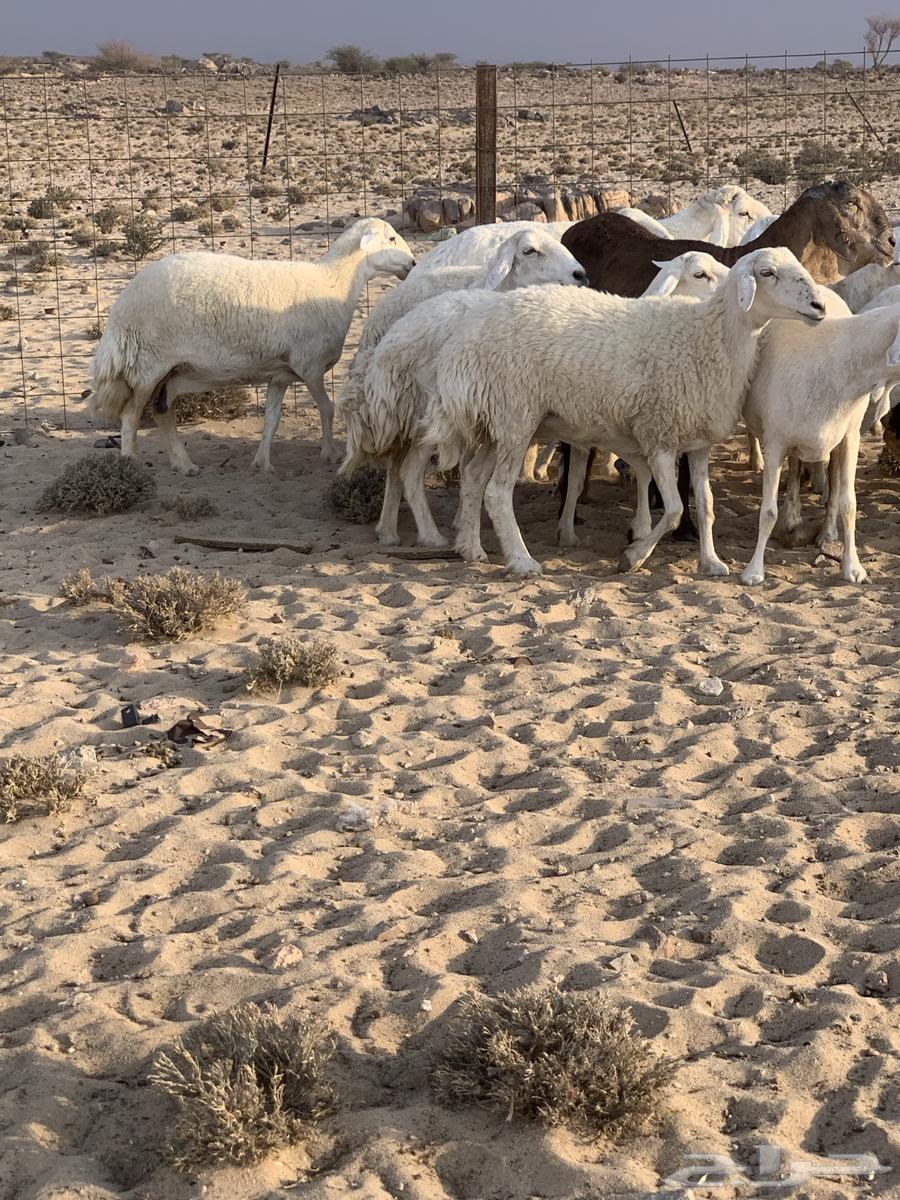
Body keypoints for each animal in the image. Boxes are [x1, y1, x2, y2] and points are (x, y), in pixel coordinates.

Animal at [87, 217, 415, 475]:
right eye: (390, 238)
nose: (412, 264)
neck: (334, 282)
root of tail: (120, 310)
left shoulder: (281, 374)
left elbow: (271, 419)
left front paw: (262, 463)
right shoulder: (310, 366)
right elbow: (327, 408)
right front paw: (329, 453)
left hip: (174, 372)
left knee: (162, 413)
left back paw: (185, 465)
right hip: (147, 365)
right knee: (130, 416)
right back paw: (130, 464)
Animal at [339, 228, 588, 546]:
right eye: (529, 251)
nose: (580, 274)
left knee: (395, 467)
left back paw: (388, 531)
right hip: (422, 415)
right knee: (406, 471)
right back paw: (429, 535)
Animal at [418, 248, 827, 577]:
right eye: (767, 273)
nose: (819, 307)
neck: (706, 336)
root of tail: (464, 340)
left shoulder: (698, 442)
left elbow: (706, 505)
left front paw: (710, 562)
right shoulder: (659, 436)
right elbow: (674, 509)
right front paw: (633, 557)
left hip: (499, 421)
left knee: (473, 478)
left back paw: (471, 549)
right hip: (516, 415)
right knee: (498, 493)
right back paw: (521, 561)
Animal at [740, 302, 900, 586]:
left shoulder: (850, 438)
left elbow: (849, 504)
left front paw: (853, 568)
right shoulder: (776, 442)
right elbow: (767, 512)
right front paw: (754, 572)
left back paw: (826, 533)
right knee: (793, 469)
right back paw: (791, 514)